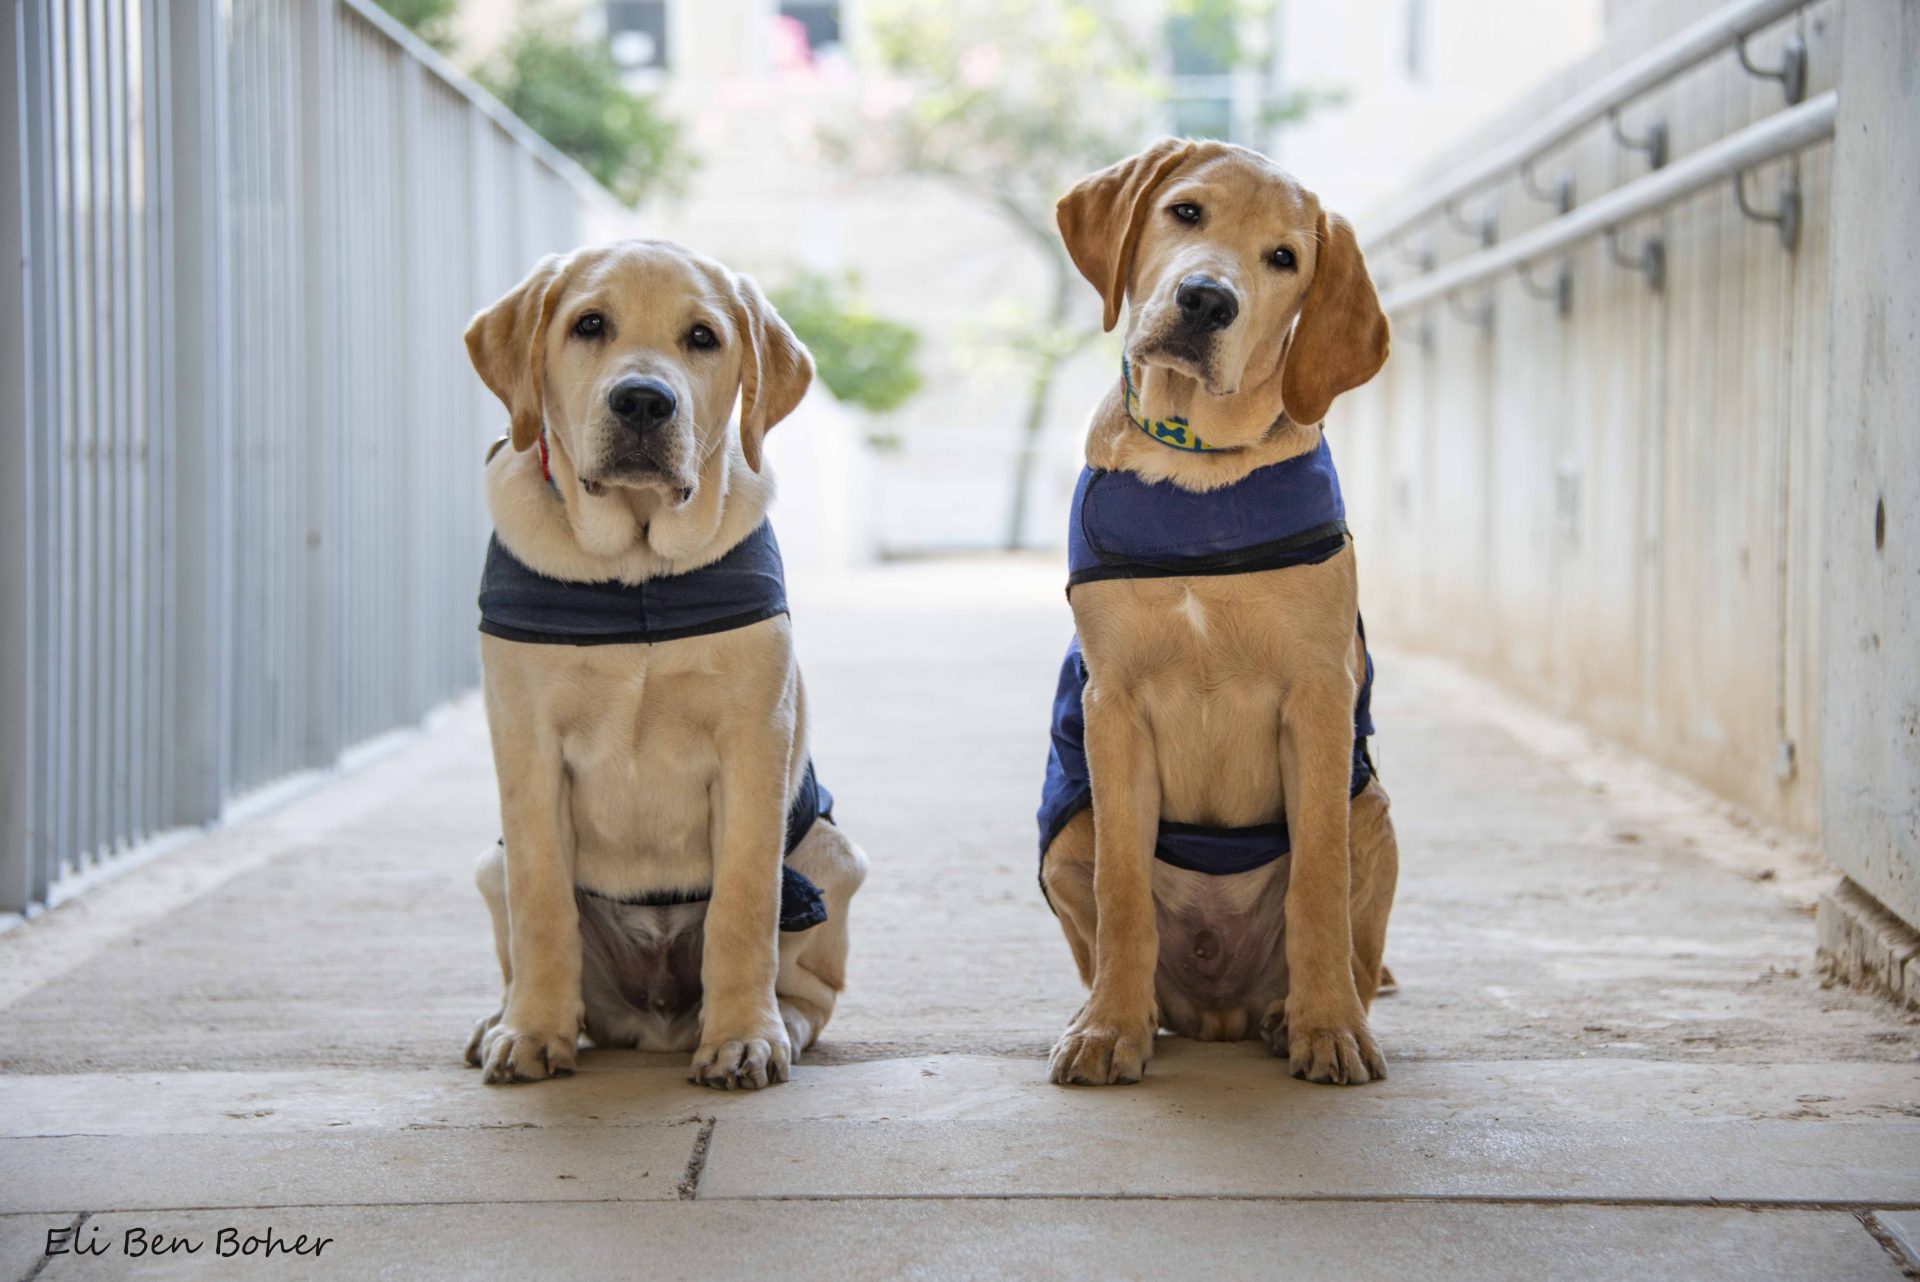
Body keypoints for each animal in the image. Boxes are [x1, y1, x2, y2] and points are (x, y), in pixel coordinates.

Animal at [1036, 138, 1397, 1082]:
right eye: (1185, 212)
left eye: (1285, 259)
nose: (1206, 299)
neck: (1196, 466)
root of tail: (1218, 1009)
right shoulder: (1112, 706)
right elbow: (1124, 891)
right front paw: (1107, 1030)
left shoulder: (1318, 697)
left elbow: (1316, 883)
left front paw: (1327, 1028)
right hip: (1066, 828)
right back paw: (1111, 1009)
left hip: (1373, 810)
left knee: (1357, 948)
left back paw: (1295, 1011)